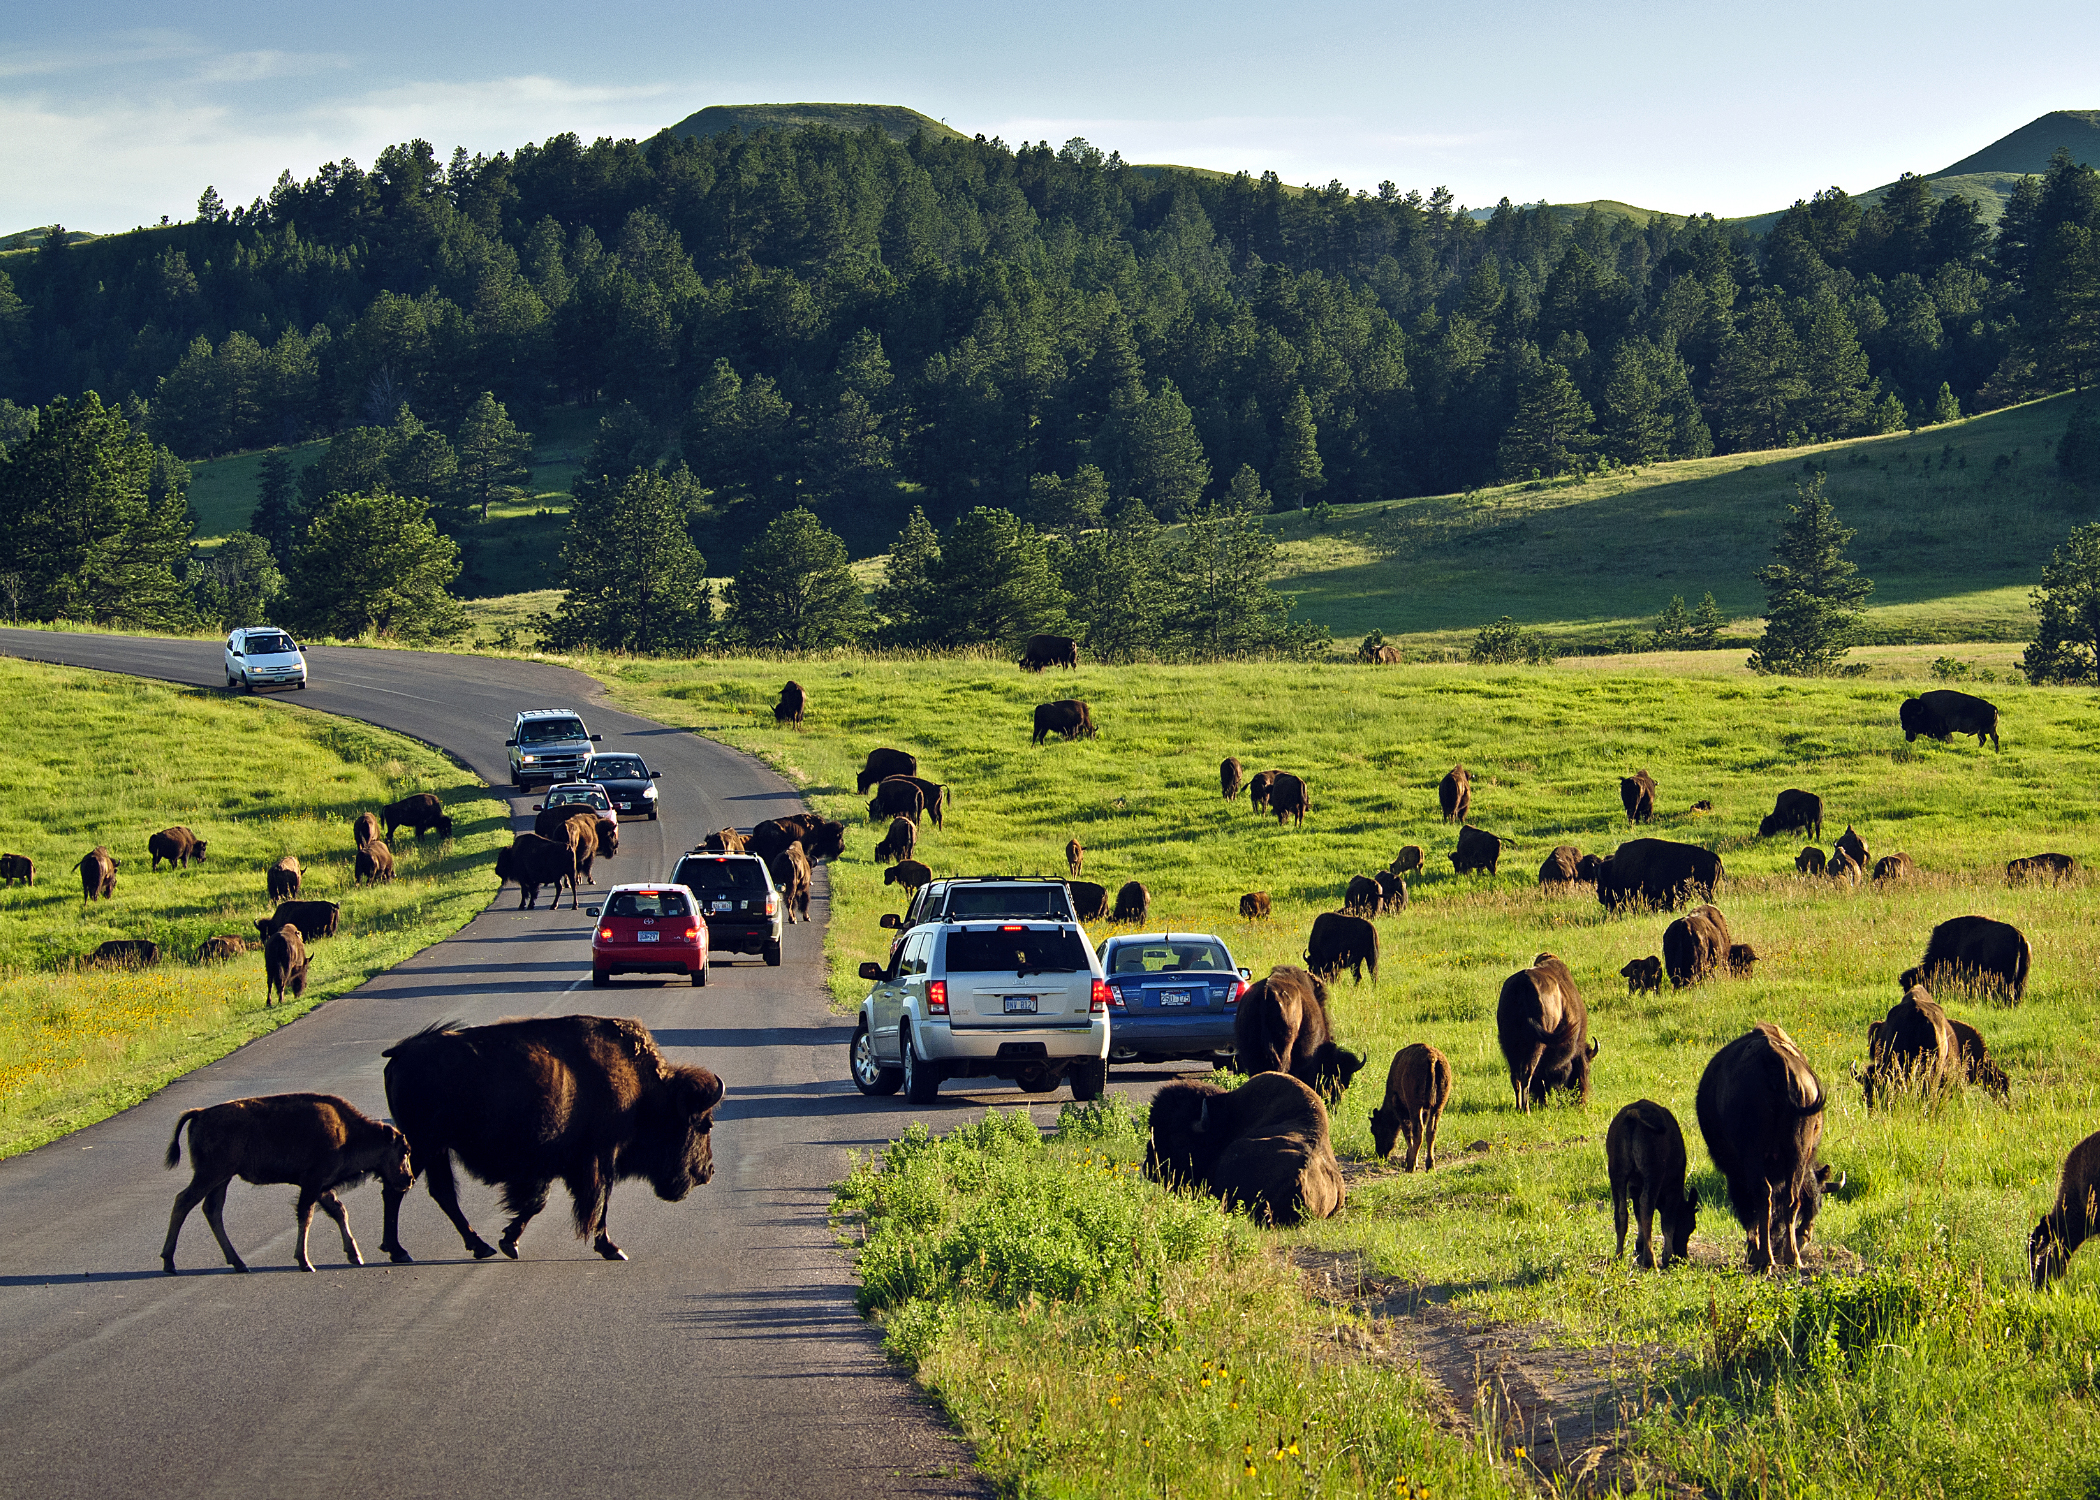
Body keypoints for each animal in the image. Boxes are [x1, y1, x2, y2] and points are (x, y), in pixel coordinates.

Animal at [162, 1093, 414, 1274]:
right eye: (404, 1151)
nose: (409, 1179)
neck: (347, 1132)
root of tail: (200, 1114)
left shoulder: (321, 1187)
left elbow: (339, 1211)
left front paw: (355, 1256)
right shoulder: (313, 1183)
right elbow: (306, 1216)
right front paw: (305, 1262)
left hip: (222, 1179)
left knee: (212, 1210)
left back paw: (239, 1263)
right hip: (211, 1174)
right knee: (183, 1201)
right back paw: (169, 1263)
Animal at [378, 1015, 725, 1264]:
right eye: (705, 1125)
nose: (707, 1172)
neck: (644, 1090)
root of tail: (401, 1052)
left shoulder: (551, 1165)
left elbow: (537, 1203)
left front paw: (509, 1241)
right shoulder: (599, 1159)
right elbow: (596, 1203)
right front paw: (611, 1248)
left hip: (435, 1149)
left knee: (442, 1193)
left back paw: (479, 1246)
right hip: (421, 1146)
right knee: (399, 1190)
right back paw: (399, 1251)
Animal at [1496, 953, 1595, 1111]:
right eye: (1586, 1069)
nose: (1580, 1102)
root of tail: (1523, 983)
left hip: (1510, 1046)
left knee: (1516, 1076)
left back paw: (1519, 1107)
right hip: (1536, 1045)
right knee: (1527, 1073)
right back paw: (1527, 1110)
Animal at [1606, 1100, 1699, 1269]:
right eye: (1690, 1225)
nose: (1683, 1255)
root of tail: (1633, 1114)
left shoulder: (1634, 1187)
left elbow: (1637, 1214)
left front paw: (1639, 1247)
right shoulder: (1673, 1186)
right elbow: (1667, 1221)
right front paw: (1666, 1256)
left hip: (1616, 1172)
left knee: (1621, 1211)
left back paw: (1619, 1255)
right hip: (1653, 1172)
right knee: (1647, 1206)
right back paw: (1651, 1261)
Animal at [1695, 1023, 1830, 1271]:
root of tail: (1775, 1059)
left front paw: (1753, 1252)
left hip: (1753, 1156)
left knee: (1763, 1197)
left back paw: (1766, 1259)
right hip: (1796, 1153)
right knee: (1790, 1200)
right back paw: (1792, 1258)